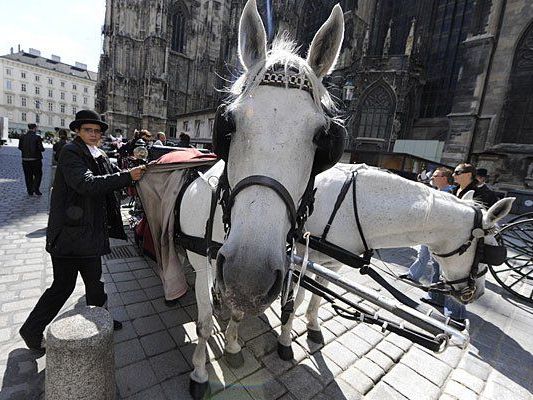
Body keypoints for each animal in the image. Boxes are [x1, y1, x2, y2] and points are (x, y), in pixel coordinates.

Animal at [179, 0, 344, 396]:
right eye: (229, 123)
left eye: (323, 137)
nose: (247, 277)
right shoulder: (205, 263)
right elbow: (203, 324)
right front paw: (200, 374)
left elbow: (238, 312)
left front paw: (234, 346)